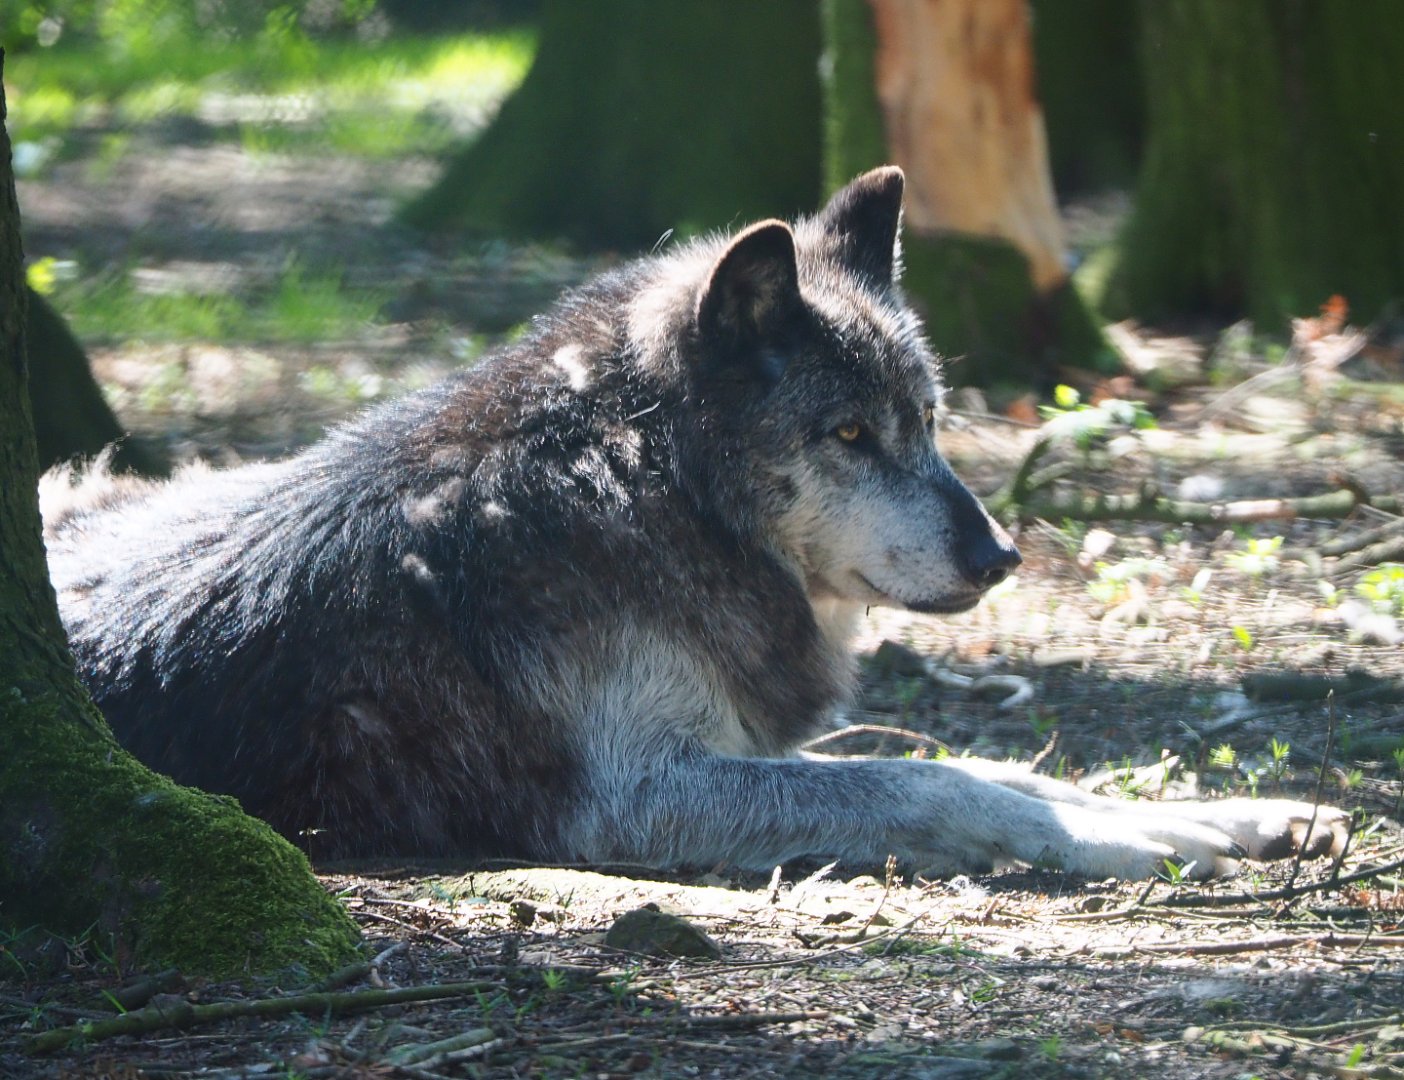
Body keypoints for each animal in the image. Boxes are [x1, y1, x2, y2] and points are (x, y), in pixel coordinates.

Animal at [43, 168, 1347, 880]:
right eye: (848, 435)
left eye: (926, 420)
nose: (1001, 555)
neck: (641, 495)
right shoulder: (637, 795)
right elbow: (938, 782)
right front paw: (1134, 845)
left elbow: (985, 762)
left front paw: (1227, 815)